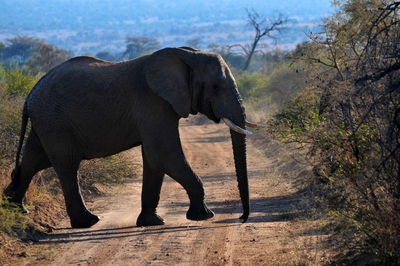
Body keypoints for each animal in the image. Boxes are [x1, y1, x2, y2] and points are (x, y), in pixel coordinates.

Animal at [3, 46, 260, 228]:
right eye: (215, 87)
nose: (241, 219)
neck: (187, 54)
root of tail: (30, 95)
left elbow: (154, 160)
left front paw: (152, 222)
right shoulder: (153, 103)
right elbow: (163, 155)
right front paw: (204, 216)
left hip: (46, 122)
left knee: (33, 161)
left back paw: (13, 210)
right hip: (55, 122)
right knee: (66, 166)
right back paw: (88, 222)